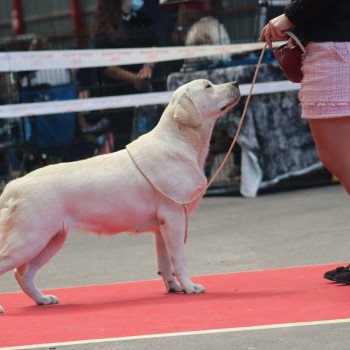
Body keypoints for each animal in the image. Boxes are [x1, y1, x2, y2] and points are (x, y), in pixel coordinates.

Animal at [0, 78, 239, 312]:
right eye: (208, 86)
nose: (236, 84)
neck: (180, 142)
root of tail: (12, 185)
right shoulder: (174, 217)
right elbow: (179, 259)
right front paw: (189, 288)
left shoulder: (161, 227)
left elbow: (164, 262)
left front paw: (173, 288)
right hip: (28, 239)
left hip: (50, 240)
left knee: (22, 275)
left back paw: (43, 299)